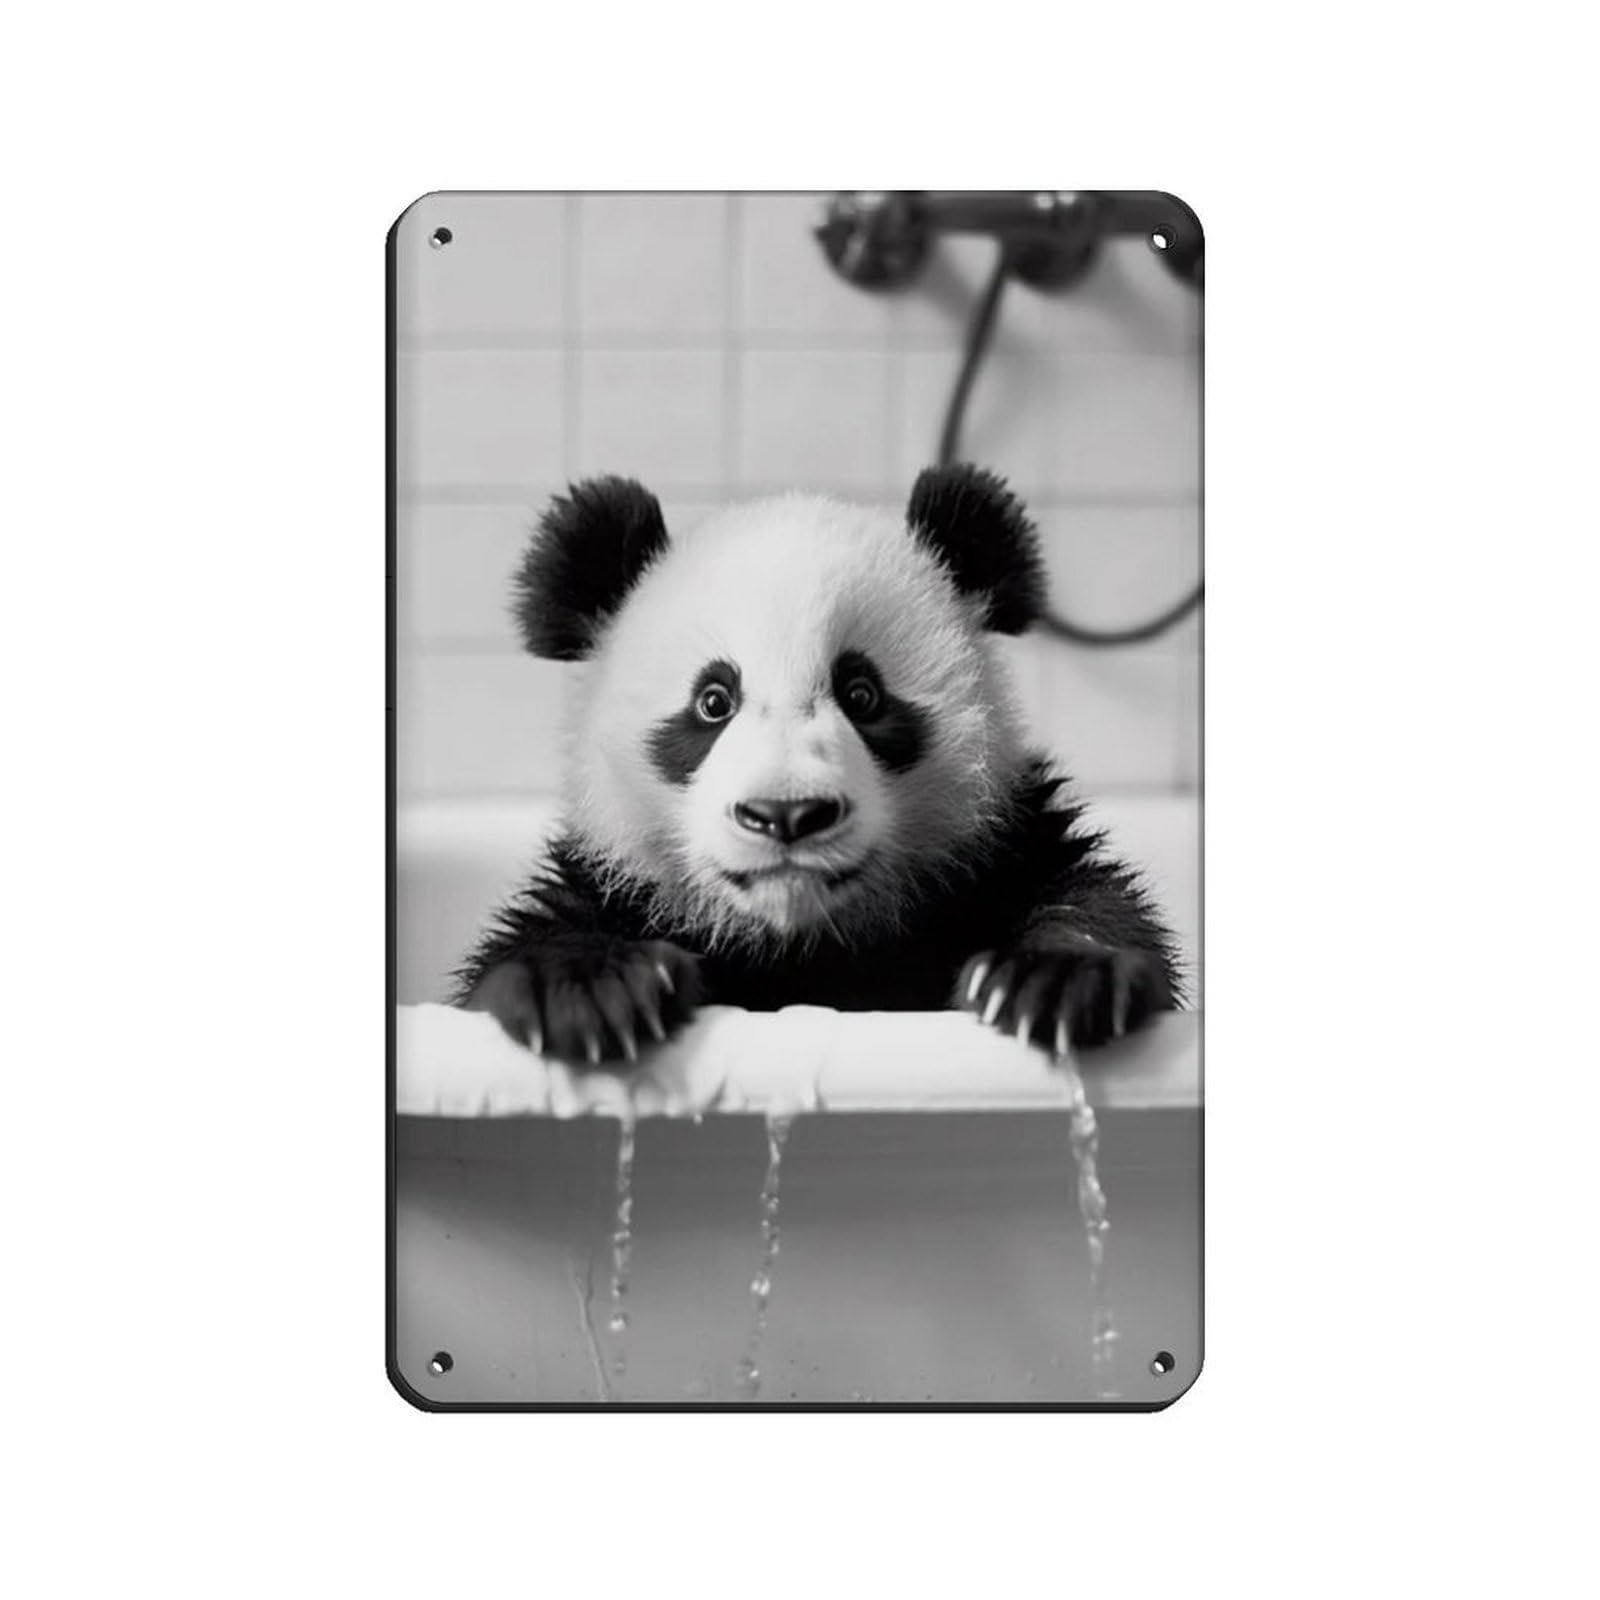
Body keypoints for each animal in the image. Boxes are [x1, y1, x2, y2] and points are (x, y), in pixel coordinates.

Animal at [455, 464, 1182, 1067]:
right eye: (713, 701)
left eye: (862, 695)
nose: (787, 814)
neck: (803, 943)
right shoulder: (617, 886)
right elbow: (536, 944)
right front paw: (588, 989)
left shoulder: (1000, 852)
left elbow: (1091, 901)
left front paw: (1056, 981)